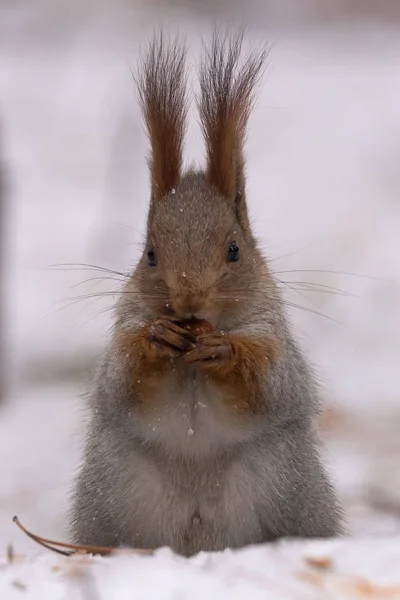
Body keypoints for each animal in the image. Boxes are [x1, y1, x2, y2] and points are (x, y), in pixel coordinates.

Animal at [69, 30, 344, 556]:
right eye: (150, 254)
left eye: (234, 250)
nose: (188, 300)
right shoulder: (123, 330)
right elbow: (121, 380)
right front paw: (157, 338)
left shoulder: (271, 334)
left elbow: (270, 384)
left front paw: (224, 350)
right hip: (111, 490)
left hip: (286, 481)